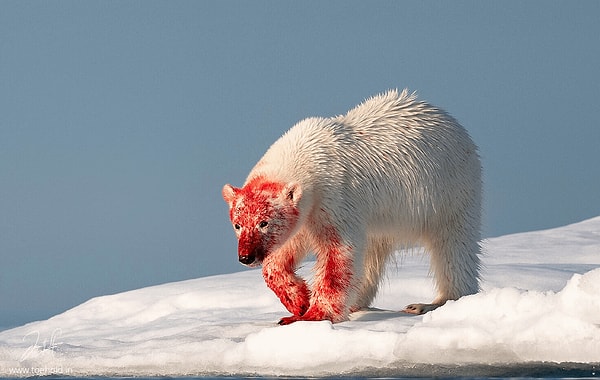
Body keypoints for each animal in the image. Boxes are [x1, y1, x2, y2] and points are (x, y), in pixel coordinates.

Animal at [223, 89, 480, 324]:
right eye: (238, 224)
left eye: (263, 222)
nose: (246, 257)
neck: (308, 155)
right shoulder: (307, 214)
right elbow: (285, 250)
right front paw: (299, 300)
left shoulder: (335, 197)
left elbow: (338, 253)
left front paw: (312, 315)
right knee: (371, 253)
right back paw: (357, 302)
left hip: (448, 191)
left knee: (452, 247)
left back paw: (431, 303)